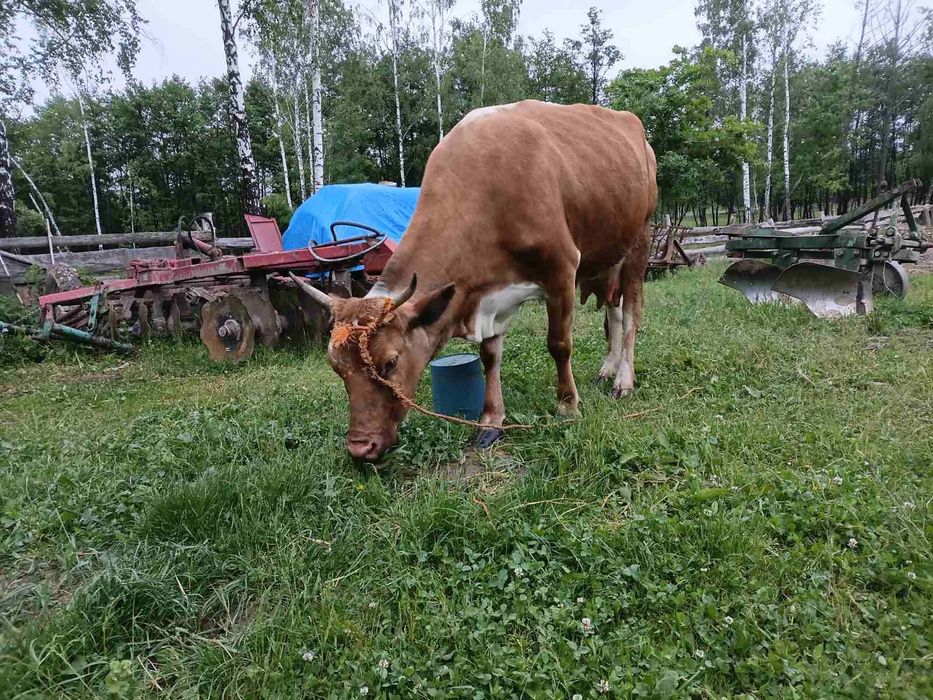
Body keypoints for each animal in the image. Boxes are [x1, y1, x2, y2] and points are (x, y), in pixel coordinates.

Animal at [291, 100, 658, 461]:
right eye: (336, 367)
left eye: (390, 362)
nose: (360, 447)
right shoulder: (489, 294)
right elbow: (490, 356)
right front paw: (491, 420)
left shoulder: (562, 269)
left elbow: (559, 344)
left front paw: (567, 406)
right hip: (608, 255)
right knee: (613, 311)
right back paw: (608, 367)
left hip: (640, 241)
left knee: (631, 314)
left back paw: (624, 379)